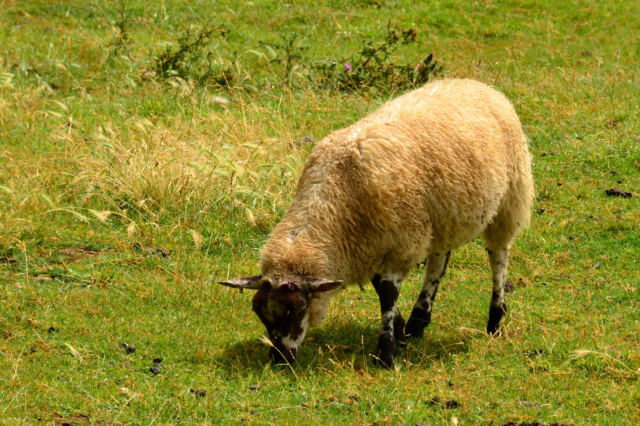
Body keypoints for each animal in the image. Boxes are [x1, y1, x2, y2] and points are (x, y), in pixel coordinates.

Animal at [219, 78, 534, 367]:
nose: (280, 360)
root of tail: (476, 84)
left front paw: (386, 353)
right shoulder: (371, 245)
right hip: (444, 216)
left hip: (509, 199)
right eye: (259, 313)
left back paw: (495, 319)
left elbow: (387, 294)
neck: (332, 200)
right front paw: (400, 328)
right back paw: (419, 319)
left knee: (498, 258)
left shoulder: (399, 242)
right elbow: (380, 286)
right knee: (438, 262)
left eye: (294, 310)